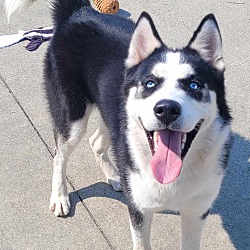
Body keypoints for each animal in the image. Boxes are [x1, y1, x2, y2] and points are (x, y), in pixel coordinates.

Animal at [6, 0, 232, 248]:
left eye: (194, 85)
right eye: (150, 83)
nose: (166, 110)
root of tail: (79, 12)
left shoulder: (197, 211)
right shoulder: (139, 209)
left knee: (95, 142)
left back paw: (114, 175)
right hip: (73, 118)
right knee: (59, 155)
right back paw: (60, 196)